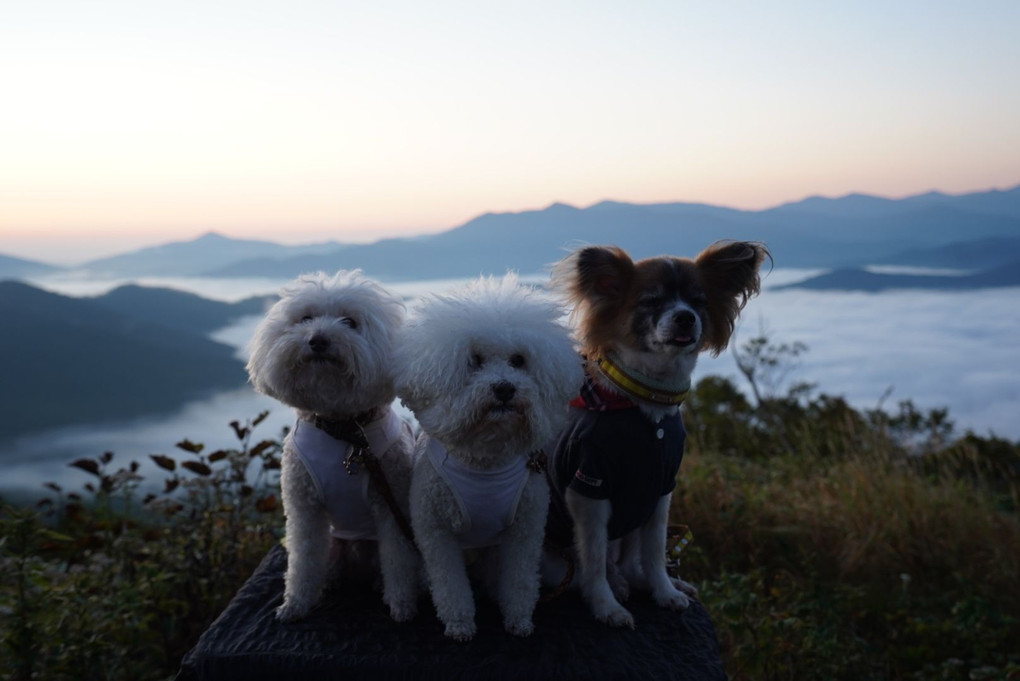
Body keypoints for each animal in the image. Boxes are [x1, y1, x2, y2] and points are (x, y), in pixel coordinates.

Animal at [246, 269, 418, 623]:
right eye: (305, 318)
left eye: (349, 322)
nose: (317, 340)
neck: (344, 430)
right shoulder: (304, 508)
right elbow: (303, 558)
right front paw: (295, 604)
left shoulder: (391, 503)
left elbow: (398, 559)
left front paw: (402, 604)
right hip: (335, 544)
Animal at [391, 273, 583, 640]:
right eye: (475, 360)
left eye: (518, 360)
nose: (504, 388)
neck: (485, 459)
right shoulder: (436, 532)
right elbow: (450, 585)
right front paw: (460, 624)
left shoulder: (525, 529)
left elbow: (520, 581)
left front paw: (519, 620)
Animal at [546, 240, 767, 627]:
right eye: (651, 301)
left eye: (698, 302)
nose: (685, 317)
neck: (647, 397)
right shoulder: (588, 489)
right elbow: (593, 560)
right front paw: (606, 606)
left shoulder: (660, 488)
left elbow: (654, 551)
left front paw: (664, 591)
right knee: (588, 570)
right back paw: (614, 586)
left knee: (631, 564)